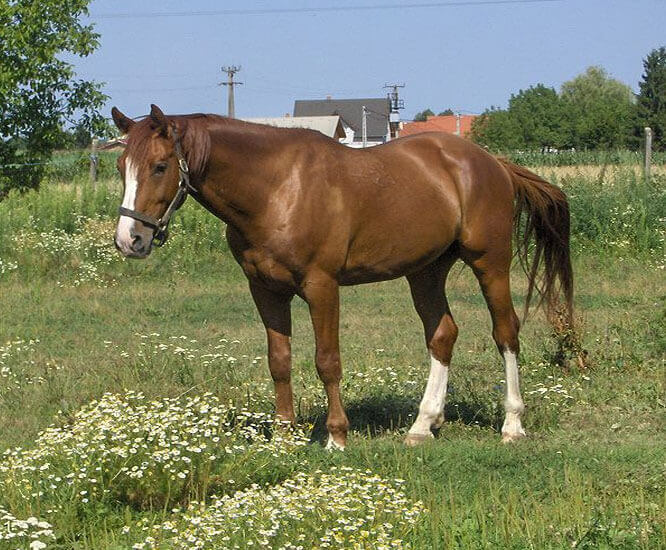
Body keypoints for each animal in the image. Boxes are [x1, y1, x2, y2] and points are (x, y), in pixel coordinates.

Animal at [111, 104, 573, 450]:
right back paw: (423, 425)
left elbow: (327, 361)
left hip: (489, 263)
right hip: (425, 272)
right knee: (442, 335)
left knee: (505, 332)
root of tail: (491, 162)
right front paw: (284, 435)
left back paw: (512, 424)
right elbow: (280, 361)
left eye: (159, 166)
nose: (129, 239)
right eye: (120, 166)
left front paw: (337, 437)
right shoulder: (265, 290)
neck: (277, 189)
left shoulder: (321, 286)